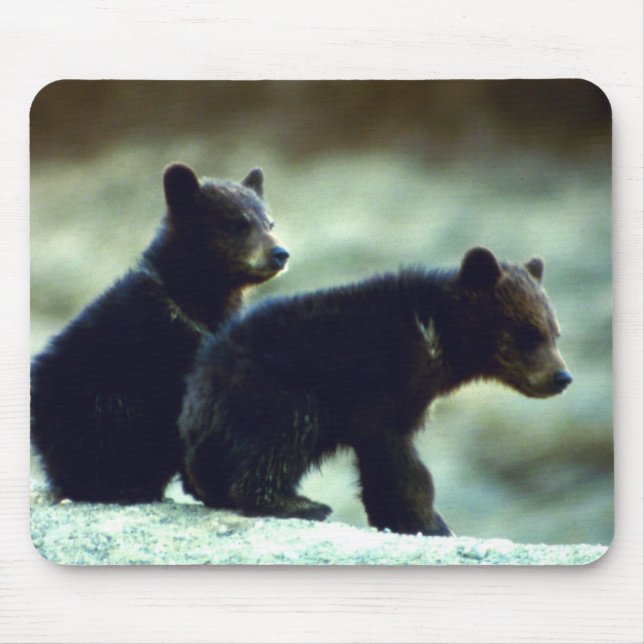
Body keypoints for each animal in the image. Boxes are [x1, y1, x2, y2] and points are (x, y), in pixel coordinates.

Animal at [178, 247, 572, 536]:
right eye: (528, 333)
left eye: (555, 332)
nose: (562, 376)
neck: (438, 336)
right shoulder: (384, 380)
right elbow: (395, 454)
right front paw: (426, 521)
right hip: (269, 387)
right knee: (283, 431)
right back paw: (301, 503)